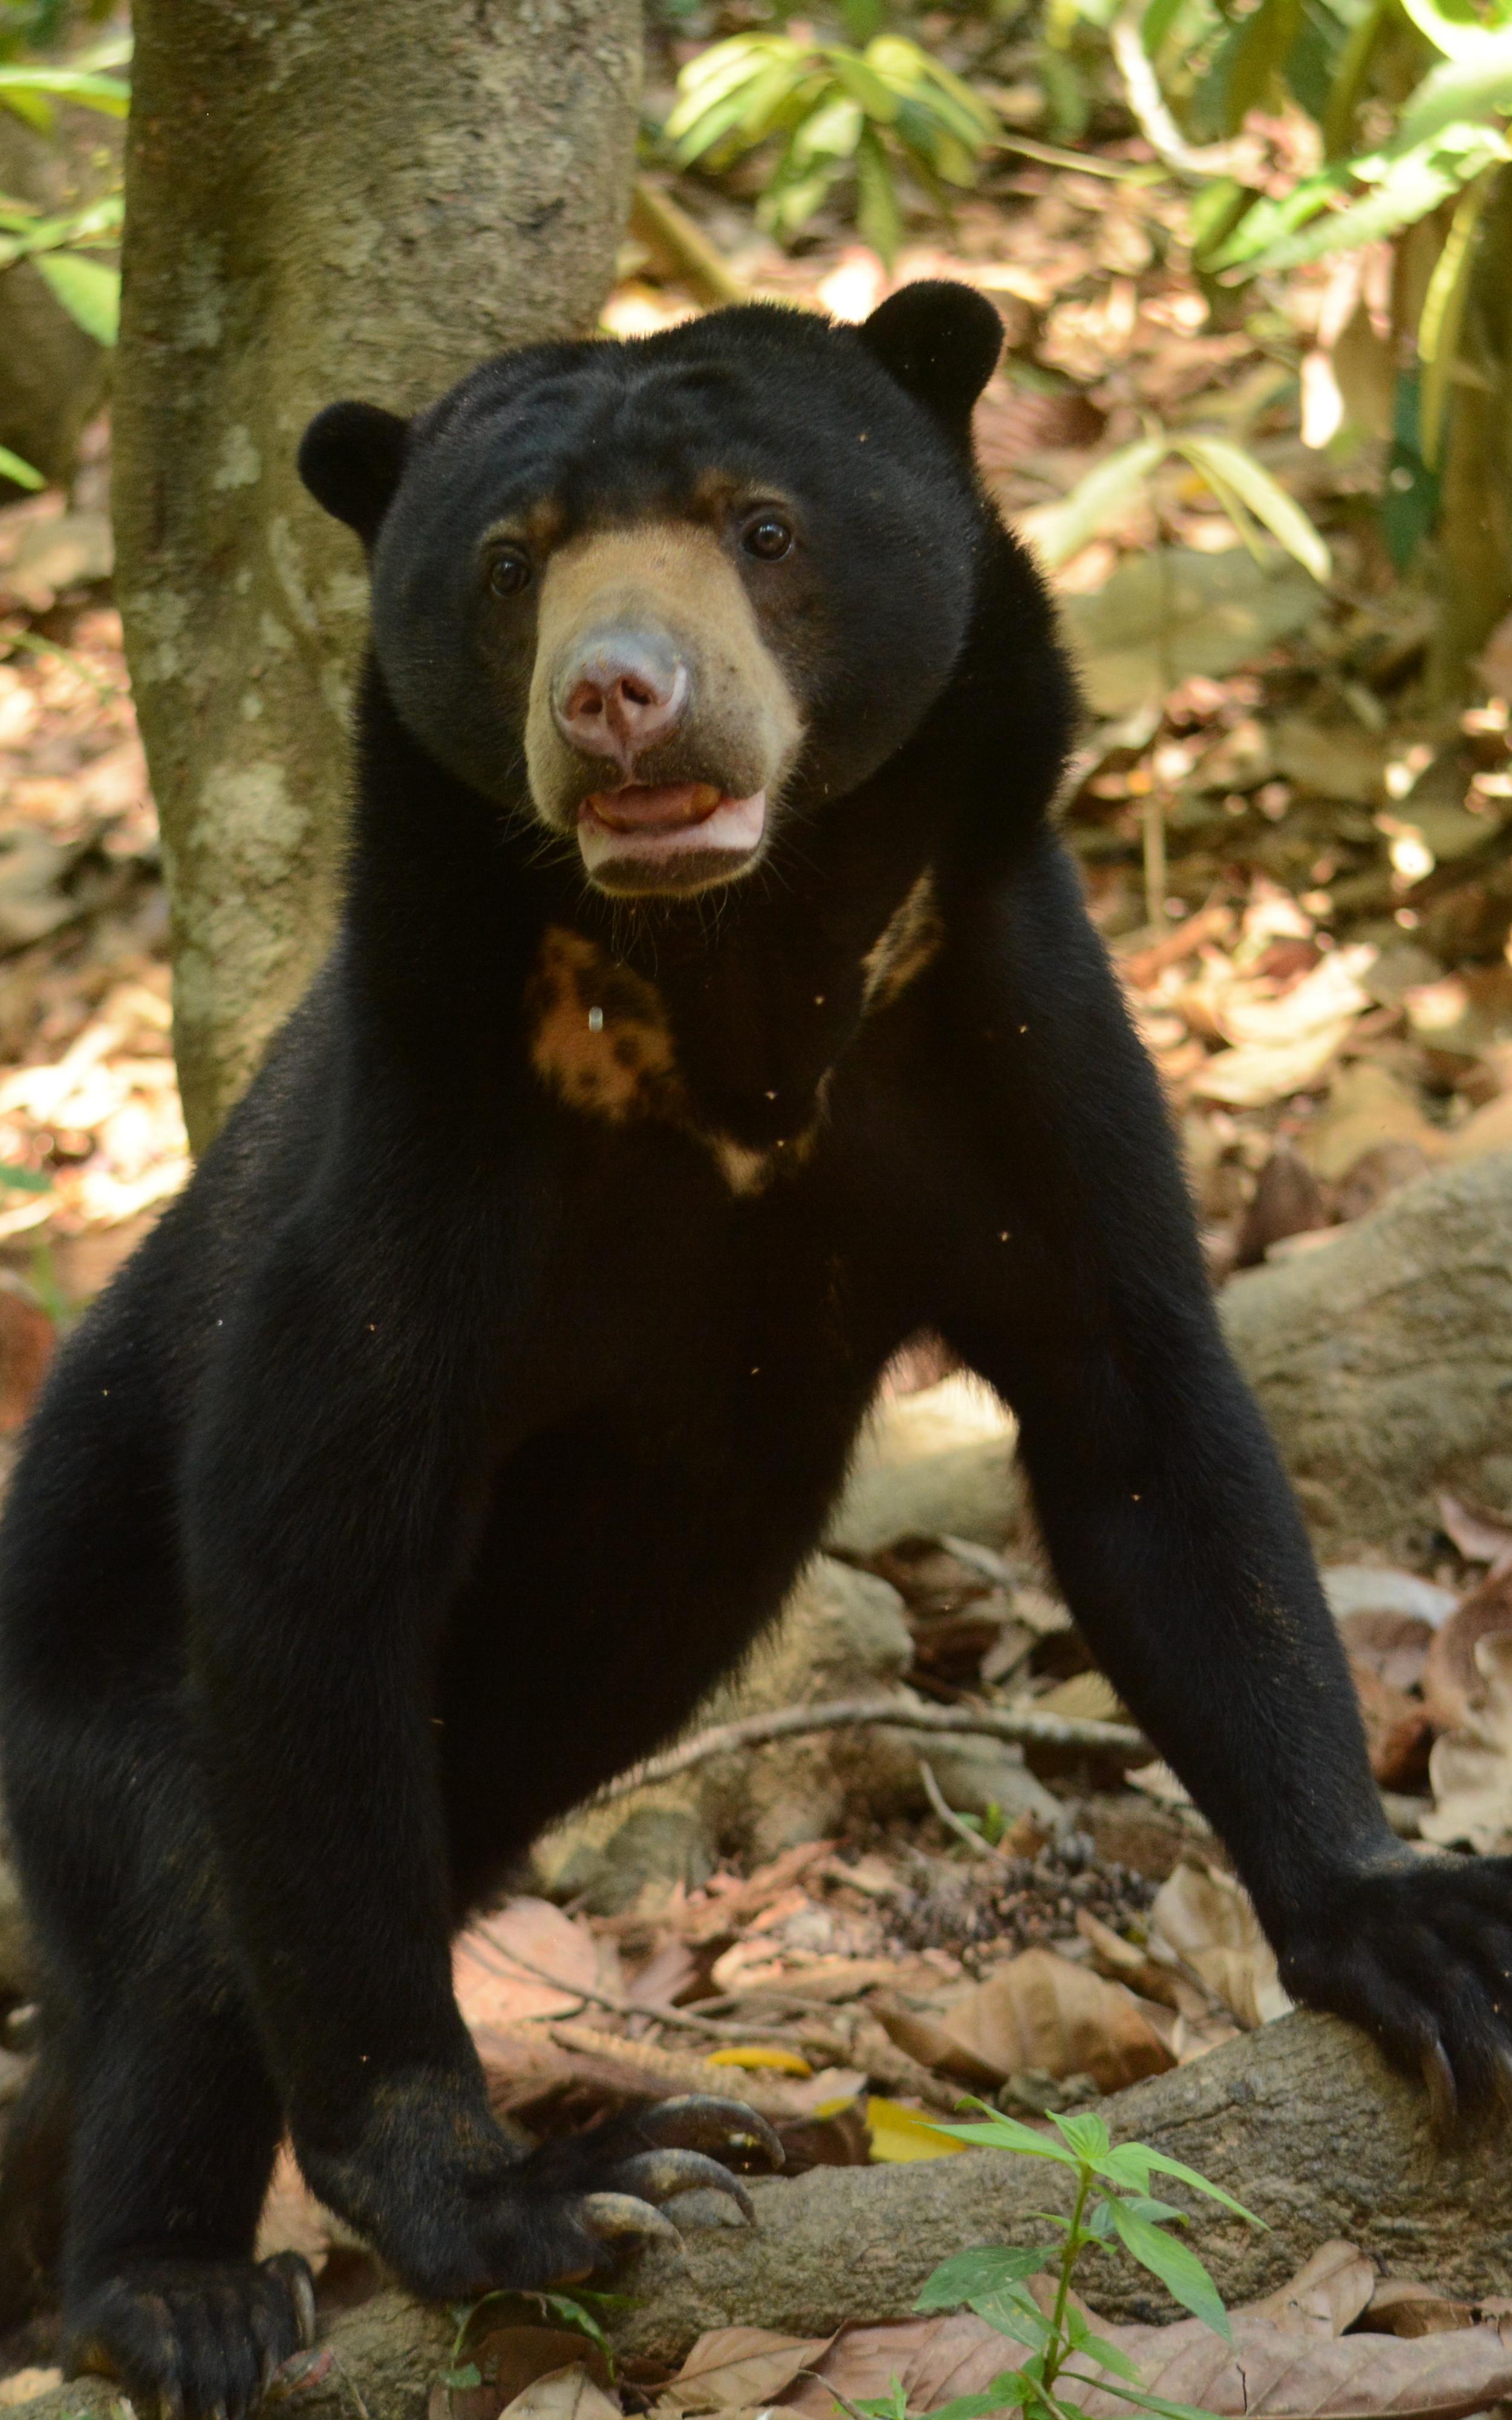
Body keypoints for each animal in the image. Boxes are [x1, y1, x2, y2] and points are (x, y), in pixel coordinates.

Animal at [0, 279, 1508, 2420]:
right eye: (511, 564)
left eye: (763, 527)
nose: (618, 700)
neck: (733, 966)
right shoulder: (421, 1110)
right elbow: (310, 1556)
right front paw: (532, 2198)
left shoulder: (1005, 1010)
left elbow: (1147, 1435)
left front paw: (1417, 1936)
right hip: (84, 1671)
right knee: (190, 1922)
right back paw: (168, 2288)